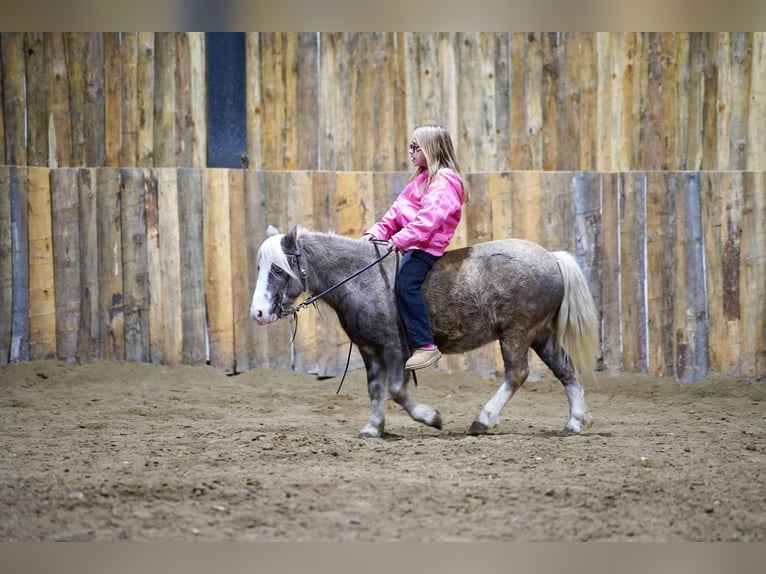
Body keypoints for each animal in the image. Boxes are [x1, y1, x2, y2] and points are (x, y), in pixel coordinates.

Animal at [250, 225, 600, 439]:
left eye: (279, 269)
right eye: (261, 267)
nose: (258, 313)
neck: (362, 279)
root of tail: (552, 258)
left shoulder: (394, 348)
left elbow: (396, 390)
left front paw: (431, 417)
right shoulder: (369, 350)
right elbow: (375, 389)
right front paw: (372, 428)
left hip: (517, 332)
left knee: (517, 373)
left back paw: (483, 419)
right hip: (541, 334)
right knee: (566, 371)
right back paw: (575, 422)